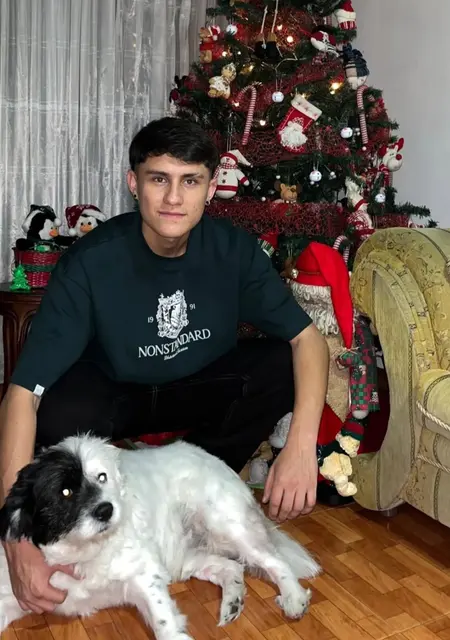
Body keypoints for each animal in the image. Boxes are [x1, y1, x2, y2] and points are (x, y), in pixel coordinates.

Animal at [0, 434, 321, 639]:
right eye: (65, 492)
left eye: (102, 477)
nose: (106, 509)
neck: (85, 552)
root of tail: (211, 457)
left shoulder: (145, 576)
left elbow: (165, 623)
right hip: (186, 558)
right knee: (231, 566)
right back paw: (232, 602)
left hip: (228, 527)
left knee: (274, 561)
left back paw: (293, 598)